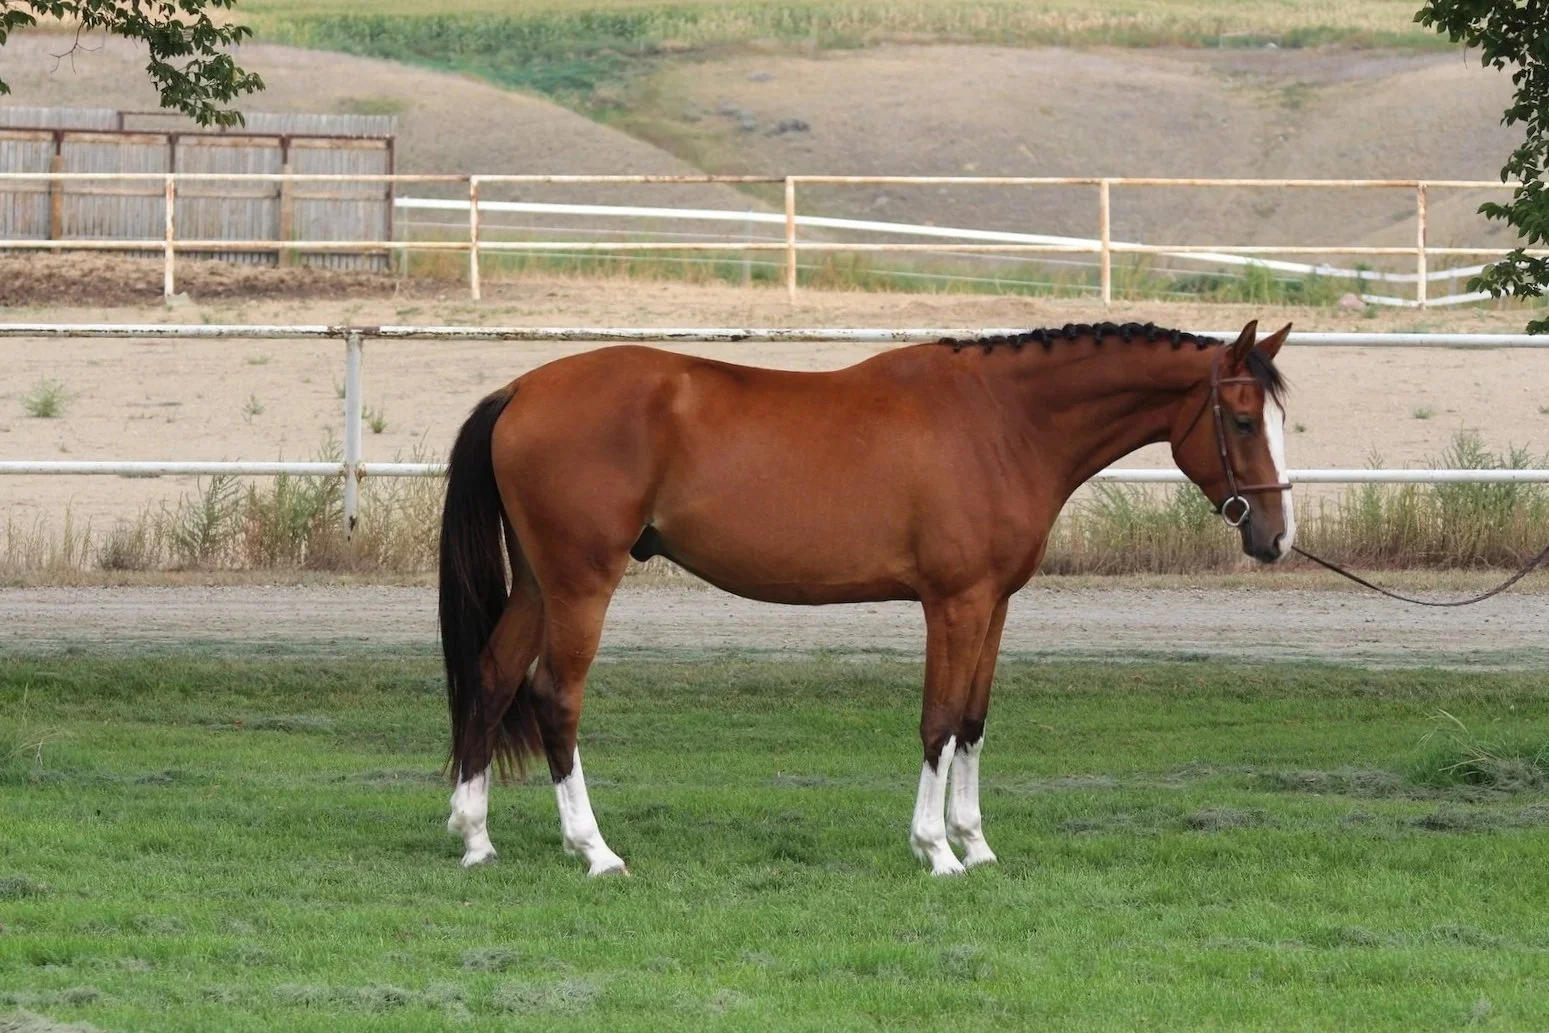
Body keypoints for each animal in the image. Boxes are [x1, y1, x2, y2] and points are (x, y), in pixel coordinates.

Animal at [438, 318, 1294, 876]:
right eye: (1241, 420)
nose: (1275, 538)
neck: (1001, 422)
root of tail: (520, 389)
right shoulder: (953, 603)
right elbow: (938, 720)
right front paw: (936, 850)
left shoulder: (994, 603)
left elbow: (973, 720)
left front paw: (976, 843)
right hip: (581, 581)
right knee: (555, 695)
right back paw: (595, 850)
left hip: (540, 583)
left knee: (492, 675)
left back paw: (475, 838)